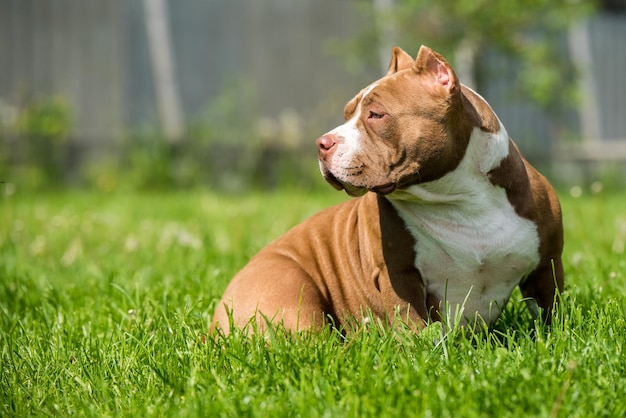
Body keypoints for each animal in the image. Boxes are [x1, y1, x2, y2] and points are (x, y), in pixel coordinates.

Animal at [212, 45, 564, 334]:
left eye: (376, 114)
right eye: (347, 114)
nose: (322, 143)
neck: (460, 200)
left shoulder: (547, 265)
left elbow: (552, 312)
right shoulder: (398, 273)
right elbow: (413, 325)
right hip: (289, 288)